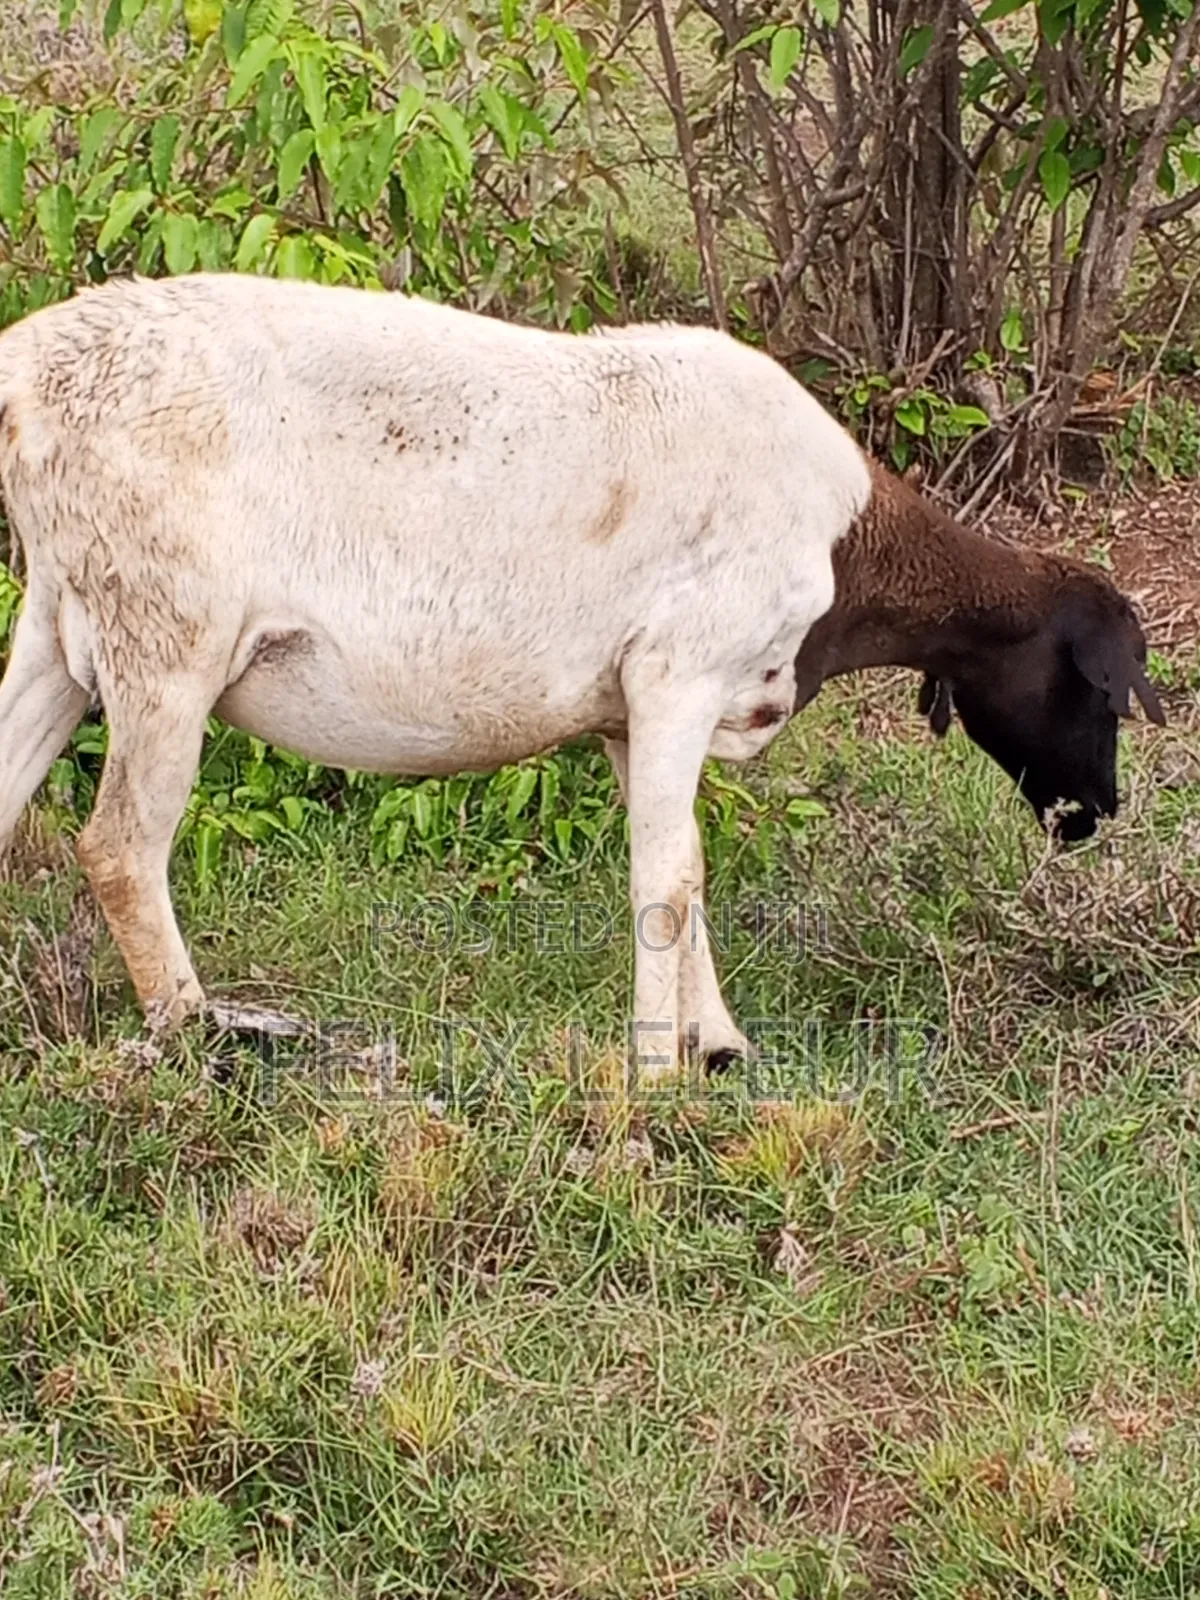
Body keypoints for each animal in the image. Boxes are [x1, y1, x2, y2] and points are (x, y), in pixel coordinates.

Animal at [0, 272, 1163, 1079]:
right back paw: (196, 1035)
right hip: (164, 630)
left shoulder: (628, 715)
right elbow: (666, 880)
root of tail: (25, 370)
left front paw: (719, 1045)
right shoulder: (679, 675)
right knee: (119, 847)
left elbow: (686, 866)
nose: (1097, 812)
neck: (846, 550)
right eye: (1098, 687)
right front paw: (655, 1071)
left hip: (61, 618)